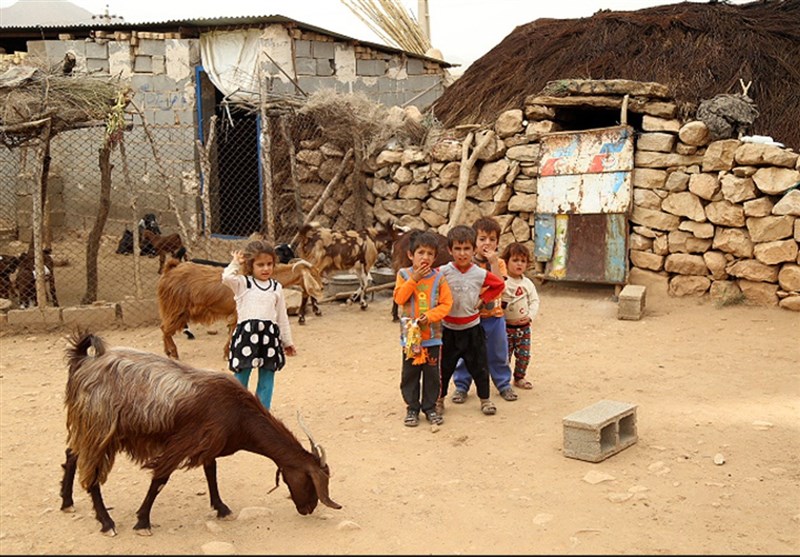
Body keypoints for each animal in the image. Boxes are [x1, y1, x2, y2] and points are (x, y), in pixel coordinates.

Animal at [59, 330, 340, 536]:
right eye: (310, 481)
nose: (308, 508)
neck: (238, 413)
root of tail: (83, 362)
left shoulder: (209, 442)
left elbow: (211, 472)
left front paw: (221, 508)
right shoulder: (184, 442)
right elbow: (160, 479)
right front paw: (142, 522)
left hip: (85, 425)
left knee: (71, 454)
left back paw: (67, 502)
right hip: (99, 427)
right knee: (91, 473)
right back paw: (106, 522)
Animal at [158, 255, 324, 358]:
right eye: (314, 274)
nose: (321, 288)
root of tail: (170, 271)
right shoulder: (239, 313)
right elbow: (233, 331)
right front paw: (228, 353)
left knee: (163, 327)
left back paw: (167, 352)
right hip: (176, 308)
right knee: (165, 328)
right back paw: (173, 352)